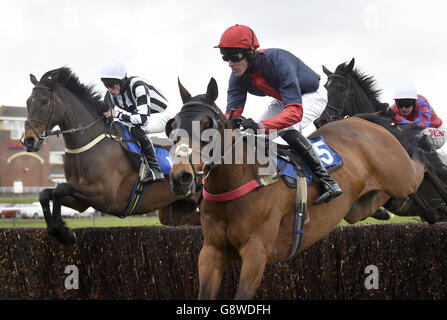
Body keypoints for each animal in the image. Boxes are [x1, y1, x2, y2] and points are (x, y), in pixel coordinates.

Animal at [22, 66, 201, 244]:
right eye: (28, 102)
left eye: (44, 101)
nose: (28, 140)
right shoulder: (81, 202)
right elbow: (46, 194)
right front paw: (58, 230)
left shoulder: (107, 197)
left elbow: (60, 189)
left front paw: (64, 232)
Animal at [166, 77, 432, 300]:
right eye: (173, 125)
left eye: (207, 124)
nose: (181, 177)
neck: (238, 182)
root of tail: (362, 120)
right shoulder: (211, 253)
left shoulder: (256, 254)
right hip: (357, 207)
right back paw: (386, 208)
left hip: (401, 177)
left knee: (421, 166)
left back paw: (424, 152)